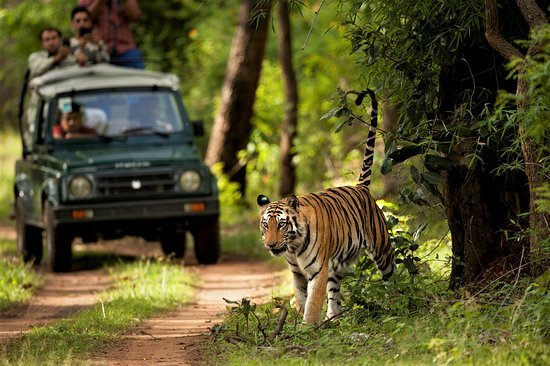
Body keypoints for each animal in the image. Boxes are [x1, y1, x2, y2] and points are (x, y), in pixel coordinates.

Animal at [258, 90, 396, 324]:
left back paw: (399, 298)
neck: (293, 246)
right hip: (336, 263)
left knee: (392, 274)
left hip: (381, 248)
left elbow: (313, 302)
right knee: (335, 291)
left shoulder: (317, 270)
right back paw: (334, 316)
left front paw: (307, 326)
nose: (270, 244)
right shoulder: (296, 272)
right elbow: (301, 297)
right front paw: (301, 318)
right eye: (266, 225)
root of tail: (360, 188)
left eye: (282, 225)